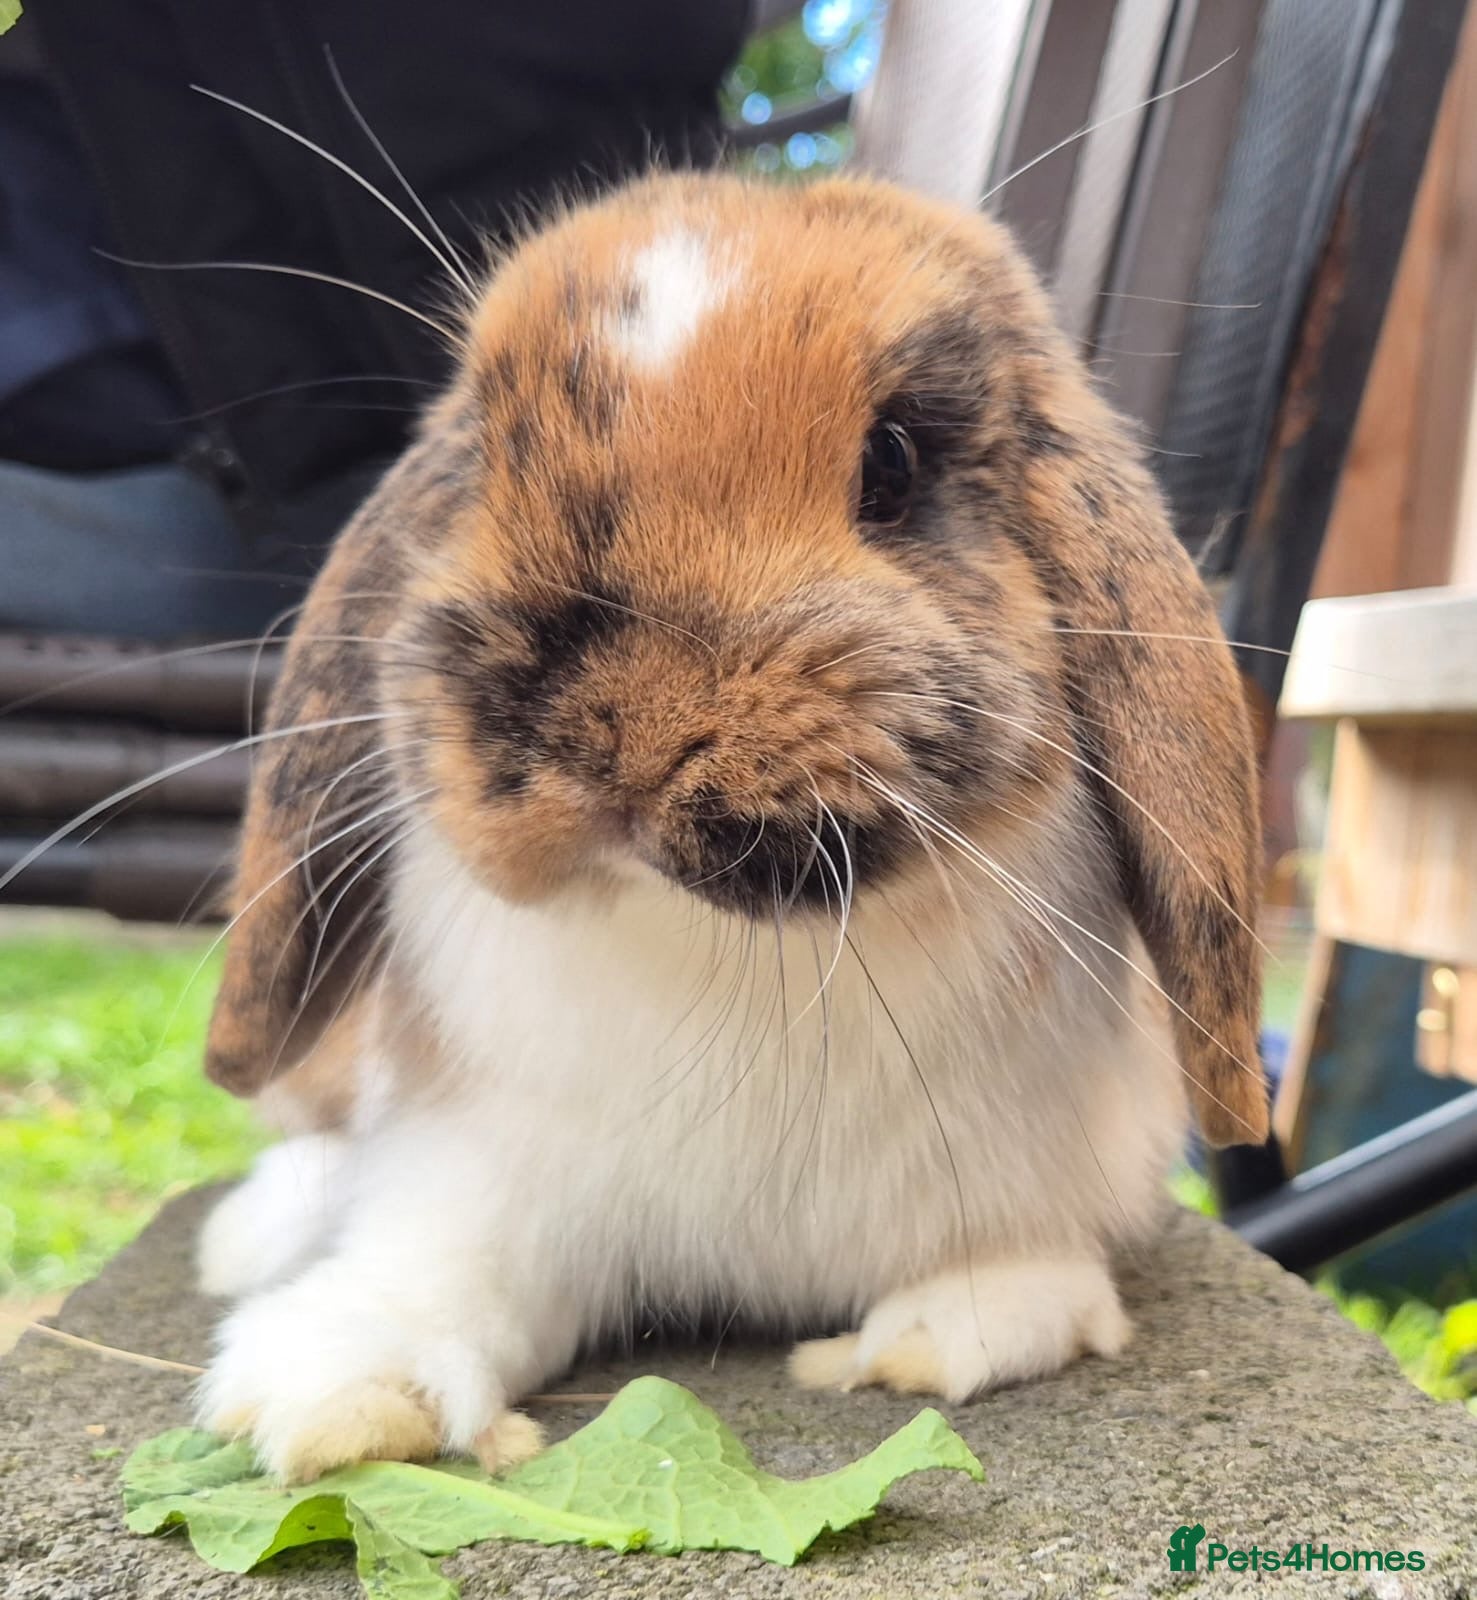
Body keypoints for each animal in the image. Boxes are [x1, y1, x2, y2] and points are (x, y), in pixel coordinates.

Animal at [194, 169, 1269, 1484]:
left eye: (894, 458)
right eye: (490, 453)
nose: (614, 730)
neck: (739, 961)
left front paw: (951, 1334)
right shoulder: (479, 1164)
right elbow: (443, 1265)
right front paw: (335, 1388)